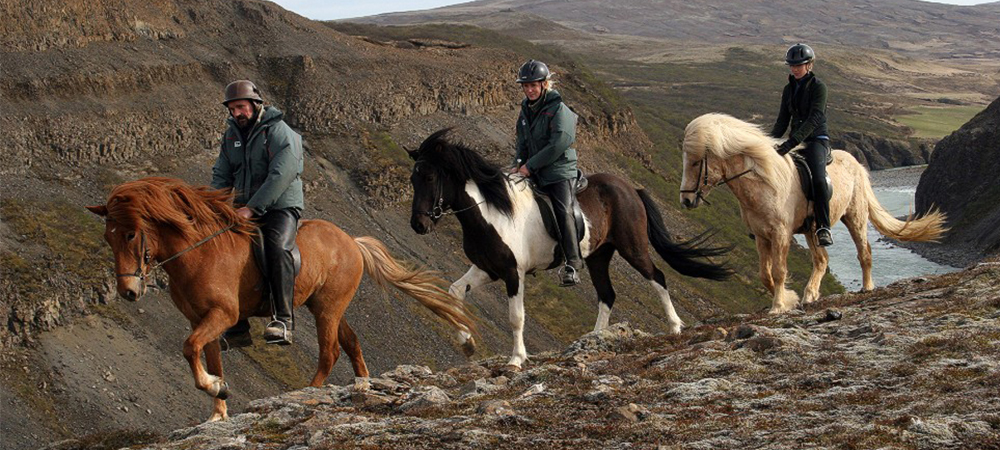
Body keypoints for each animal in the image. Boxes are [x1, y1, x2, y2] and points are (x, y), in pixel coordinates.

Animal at [87, 177, 476, 422]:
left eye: (131, 234)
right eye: (108, 238)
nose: (129, 291)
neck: (199, 253)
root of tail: (351, 241)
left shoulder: (222, 314)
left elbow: (189, 348)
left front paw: (214, 387)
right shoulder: (202, 320)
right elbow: (208, 357)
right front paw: (218, 407)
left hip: (327, 308)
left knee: (330, 351)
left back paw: (307, 392)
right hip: (325, 306)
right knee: (350, 340)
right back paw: (363, 384)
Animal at [408, 128, 736, 370]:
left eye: (430, 177)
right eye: (413, 178)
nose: (418, 225)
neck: (491, 212)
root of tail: (631, 188)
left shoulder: (514, 273)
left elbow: (516, 317)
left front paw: (516, 359)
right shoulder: (487, 269)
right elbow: (453, 292)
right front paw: (467, 342)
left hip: (632, 247)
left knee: (657, 277)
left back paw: (675, 326)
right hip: (599, 256)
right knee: (607, 294)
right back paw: (596, 338)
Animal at [680, 113, 944, 312]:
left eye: (695, 162)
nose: (686, 200)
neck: (762, 182)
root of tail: (858, 164)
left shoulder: (781, 234)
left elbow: (779, 271)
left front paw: (778, 306)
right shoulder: (762, 237)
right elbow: (765, 274)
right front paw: (790, 299)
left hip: (855, 218)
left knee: (864, 252)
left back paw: (867, 286)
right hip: (812, 229)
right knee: (822, 260)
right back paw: (810, 294)